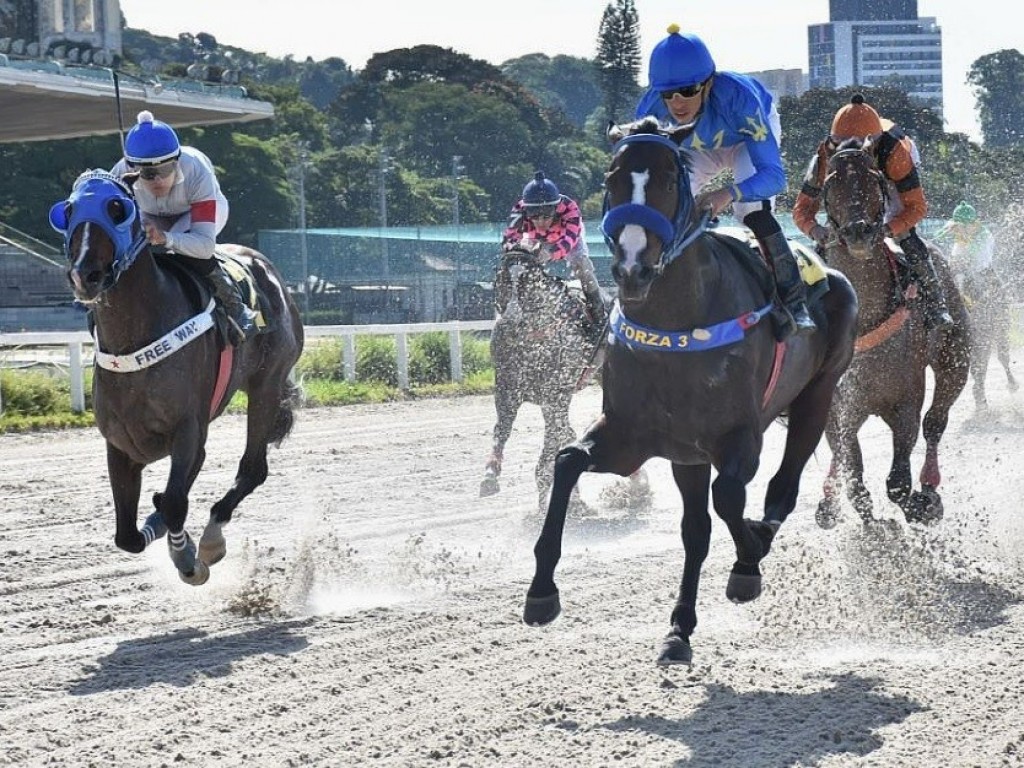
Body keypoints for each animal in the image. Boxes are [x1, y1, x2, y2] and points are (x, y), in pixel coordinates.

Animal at [48, 171, 303, 585]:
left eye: (117, 209)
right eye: (67, 212)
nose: (85, 275)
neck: (134, 341)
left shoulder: (188, 431)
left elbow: (176, 501)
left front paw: (188, 558)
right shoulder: (120, 445)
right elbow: (128, 535)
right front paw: (158, 526)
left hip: (267, 384)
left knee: (252, 469)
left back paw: (212, 539)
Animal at [520, 120, 856, 667]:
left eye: (666, 181)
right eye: (612, 179)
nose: (632, 268)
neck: (675, 325)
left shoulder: (739, 436)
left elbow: (731, 498)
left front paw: (749, 561)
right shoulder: (632, 436)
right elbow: (567, 460)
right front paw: (541, 592)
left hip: (817, 396)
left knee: (783, 486)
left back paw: (753, 551)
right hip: (687, 454)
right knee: (696, 530)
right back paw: (679, 629)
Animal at [811, 140, 970, 528]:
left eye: (875, 178)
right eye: (830, 183)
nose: (859, 232)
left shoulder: (905, 401)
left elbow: (899, 480)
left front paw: (917, 505)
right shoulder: (837, 405)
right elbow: (853, 475)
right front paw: (871, 524)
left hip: (955, 360)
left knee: (935, 423)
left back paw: (929, 490)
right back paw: (828, 503)